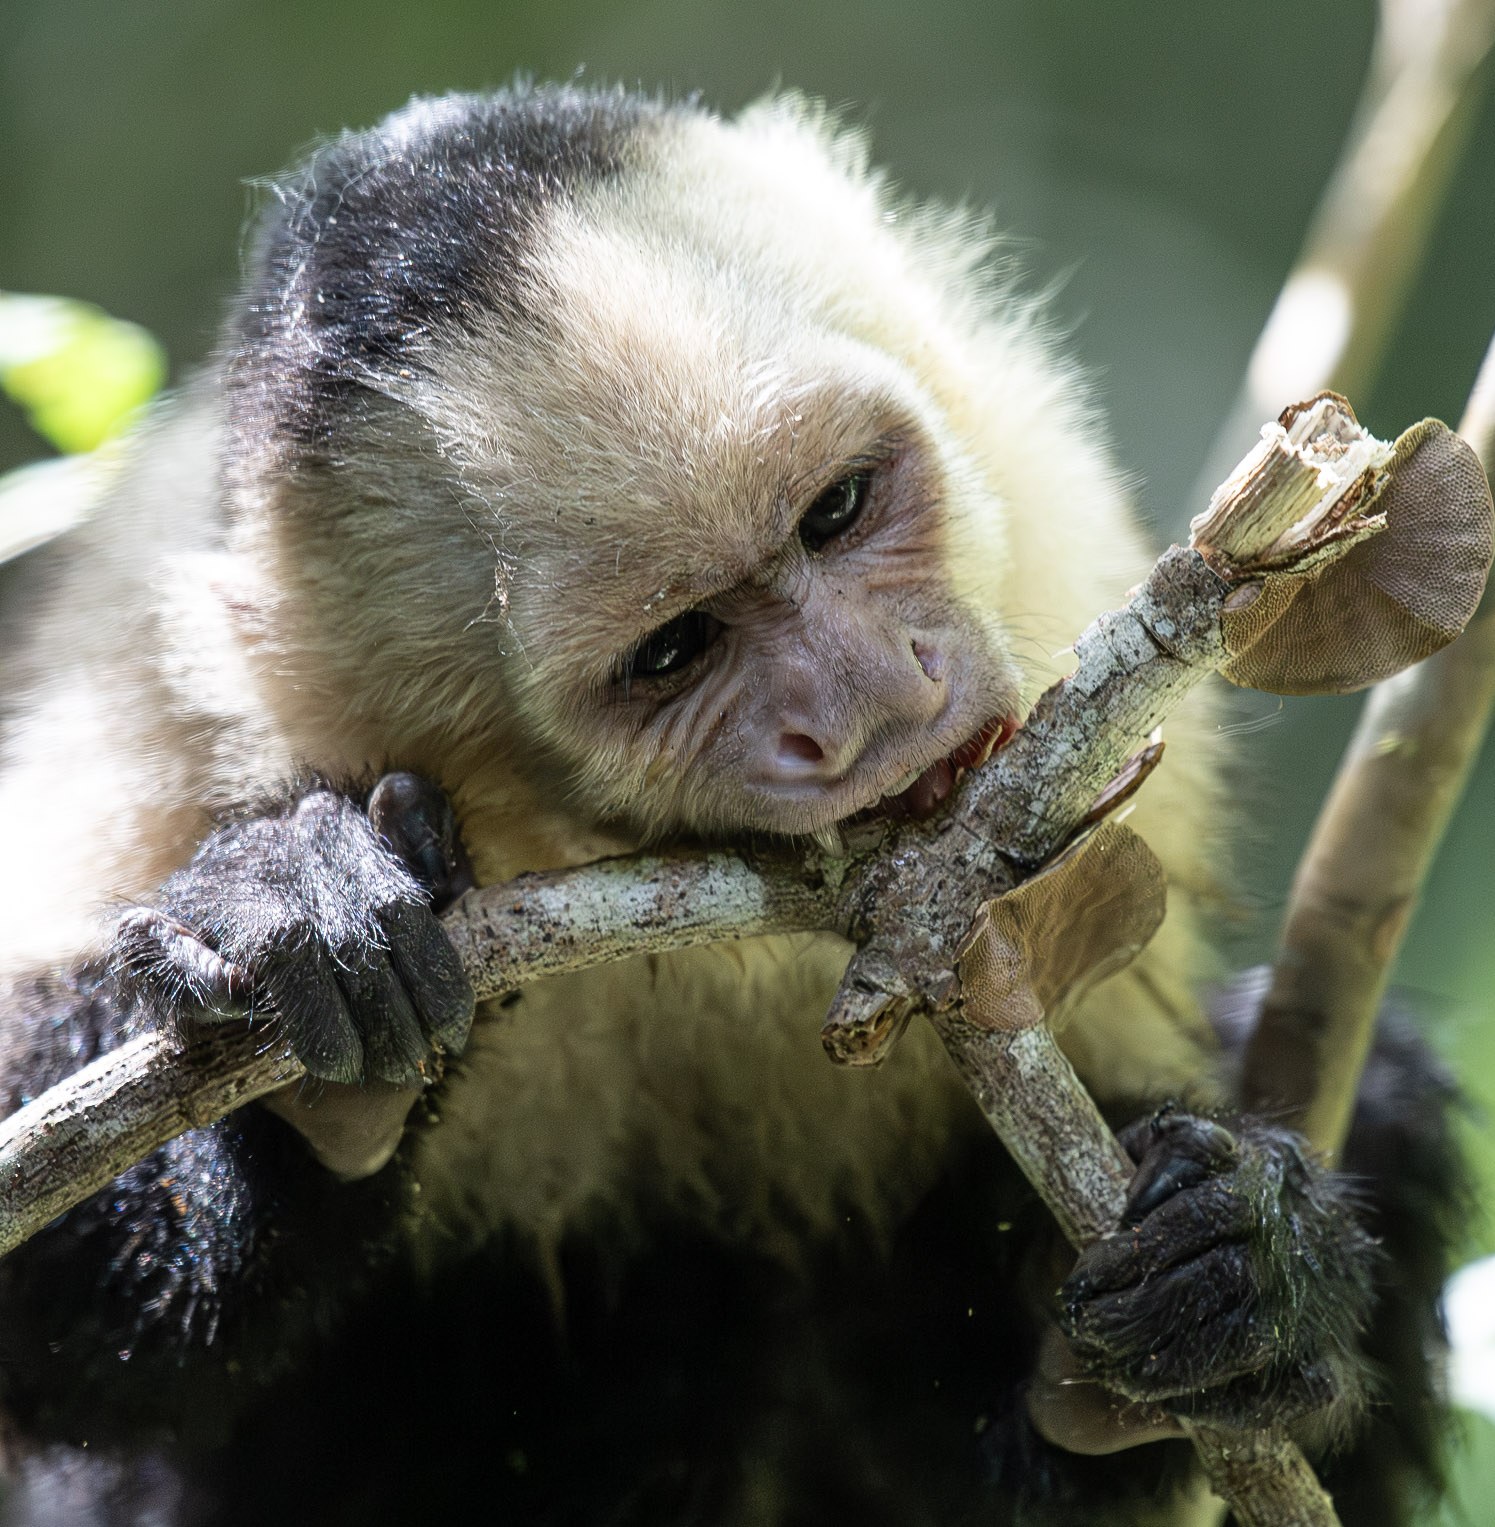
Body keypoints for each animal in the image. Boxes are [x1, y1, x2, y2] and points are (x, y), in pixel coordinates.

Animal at [0, 84, 1464, 1526]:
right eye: (672, 649)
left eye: (836, 509)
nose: (867, 696)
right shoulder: (158, 716)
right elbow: (61, 1329)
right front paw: (295, 960)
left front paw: (1231, 1276)